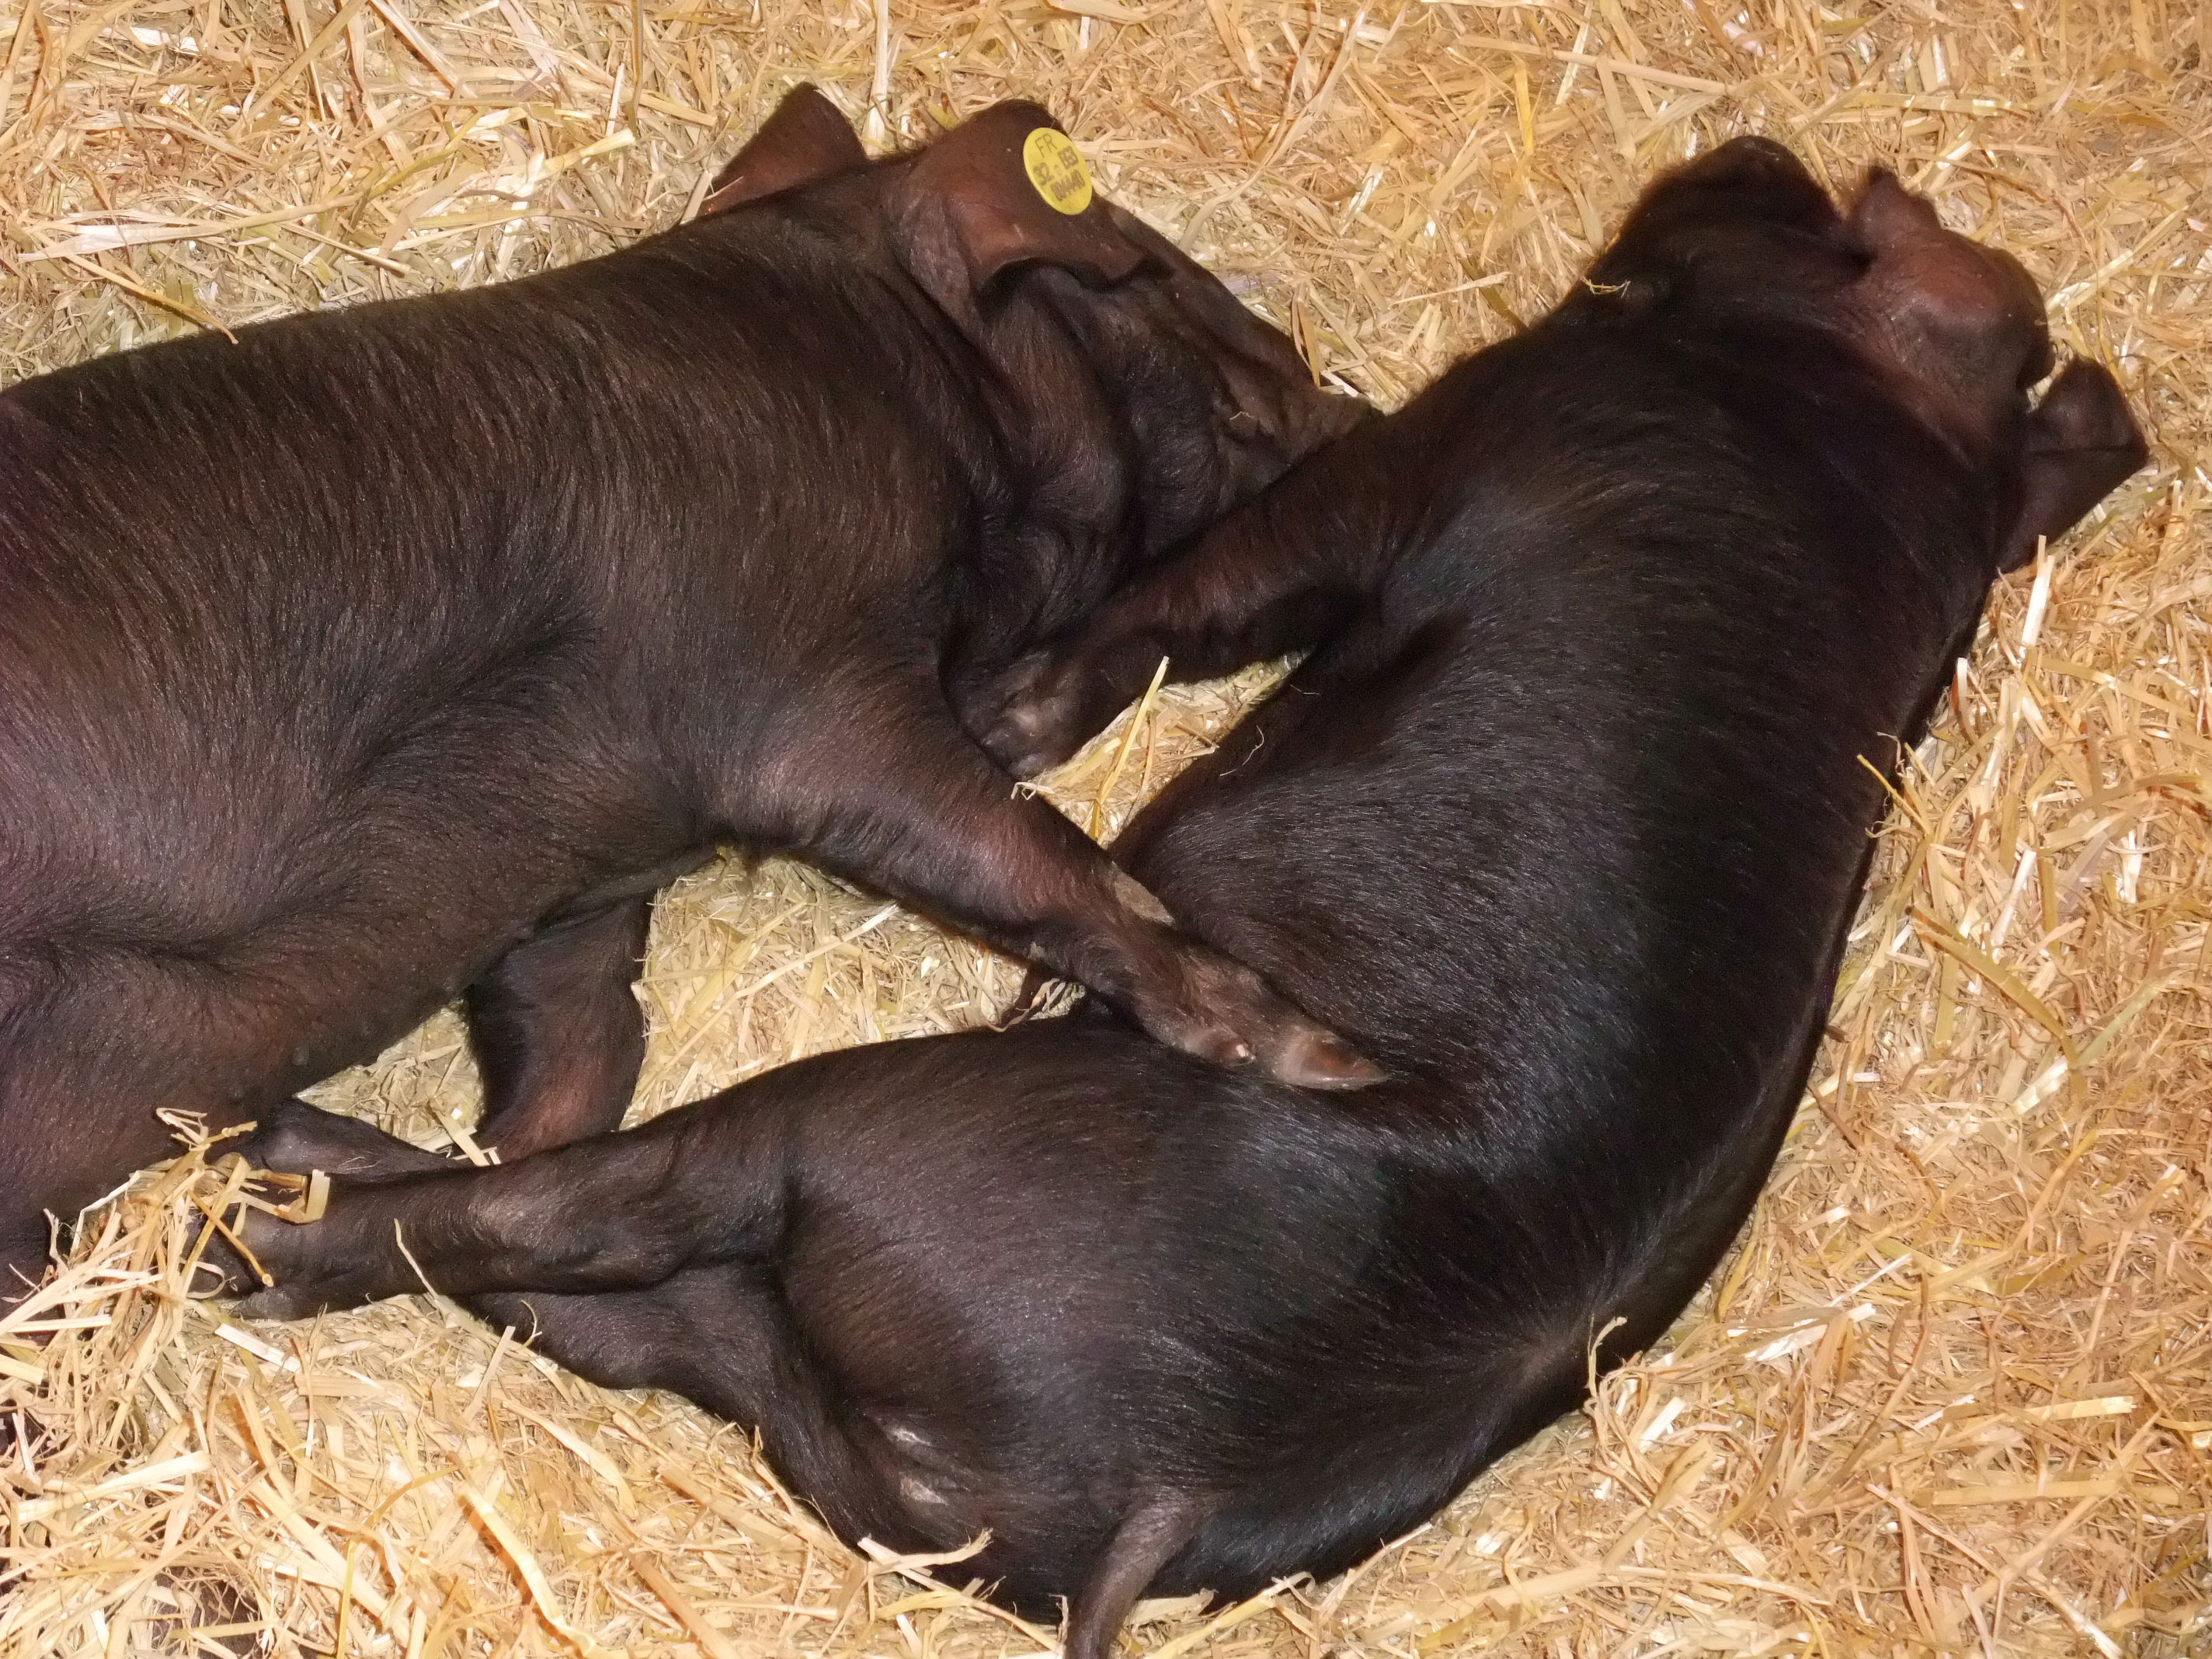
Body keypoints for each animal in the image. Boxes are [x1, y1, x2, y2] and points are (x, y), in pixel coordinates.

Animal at [0, 88, 1380, 1309]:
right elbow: (1041, 859)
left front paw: (274, 1174)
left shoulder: (581, 879)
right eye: (1149, 269)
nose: (1349, 403)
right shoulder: (799, 687)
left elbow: (575, 1076)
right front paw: (1327, 1063)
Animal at [203, 142, 2141, 1659]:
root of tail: (1164, 1481)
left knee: (561, 1218)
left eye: (1814, 204)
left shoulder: (1434, 457)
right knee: (581, 1295)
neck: (1873, 442)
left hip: (869, 1146)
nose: (1749, 144)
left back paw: (251, 1230)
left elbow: (1204, 597)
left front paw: (1000, 718)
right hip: (789, 1386)